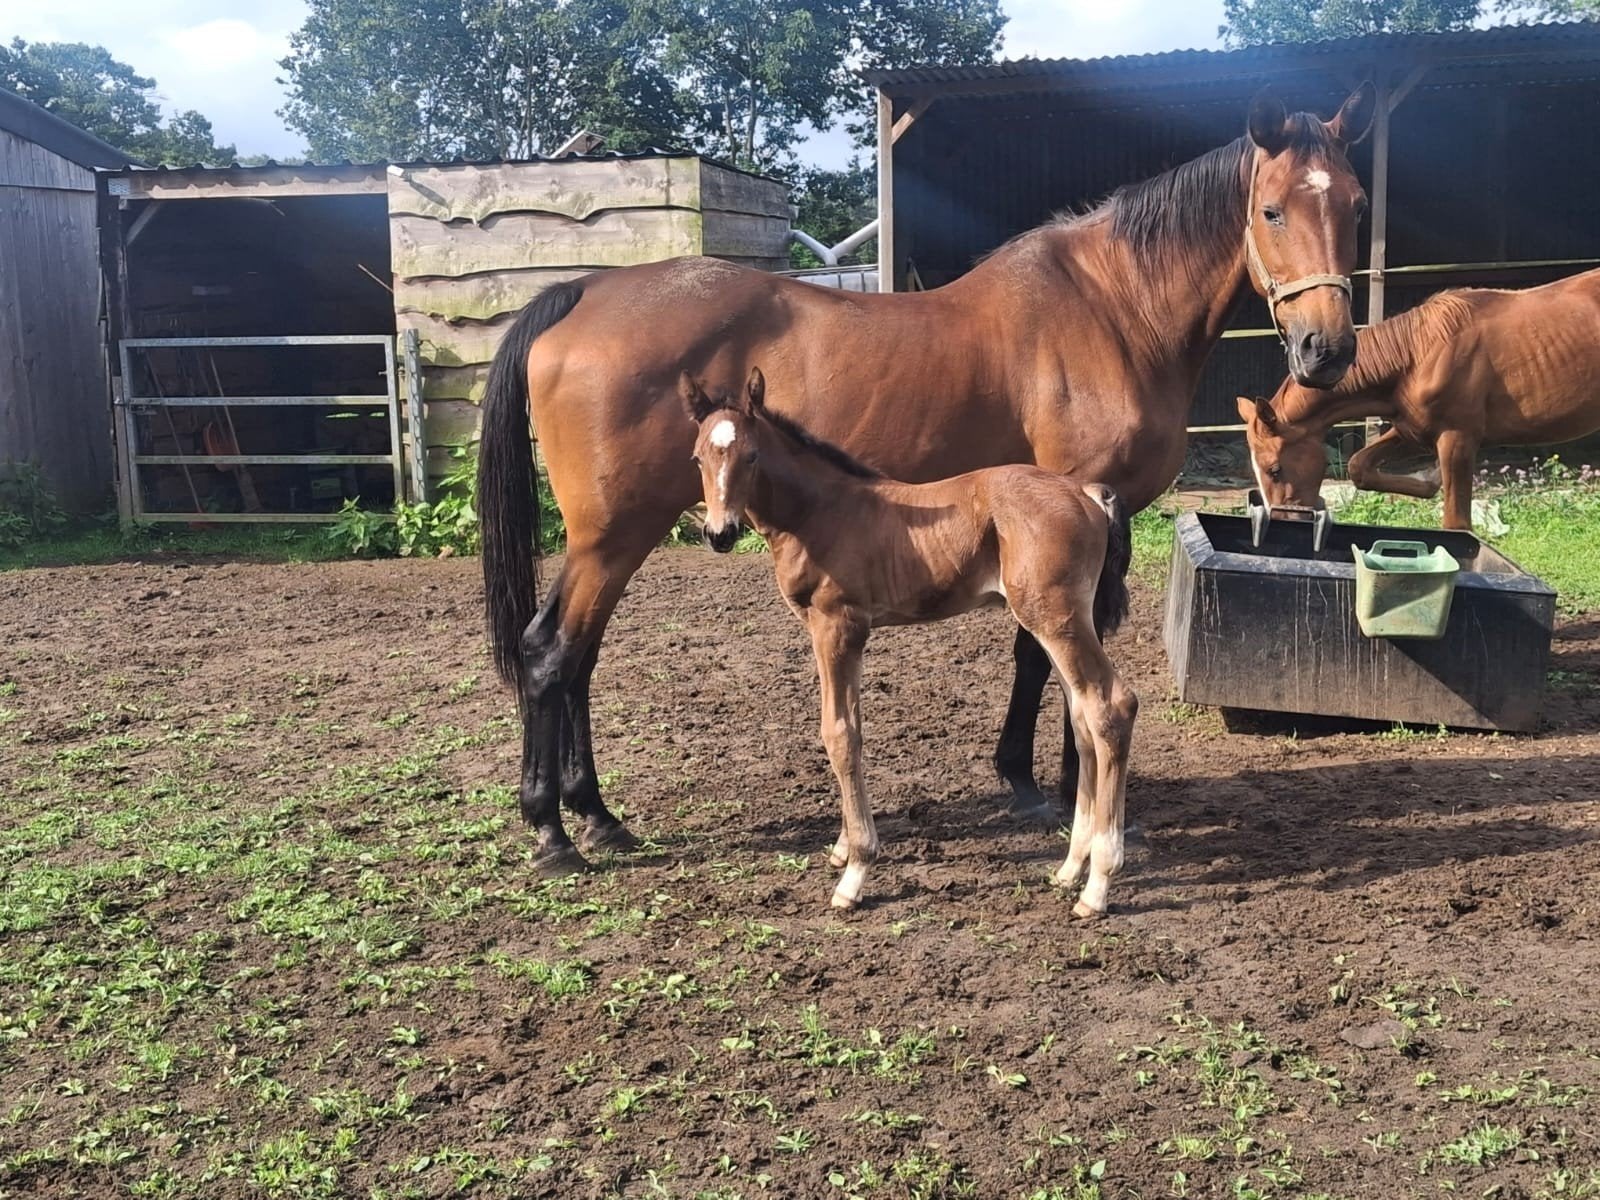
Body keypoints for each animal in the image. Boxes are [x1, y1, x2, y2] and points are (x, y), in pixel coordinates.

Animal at [683, 367, 1138, 914]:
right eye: (698, 458)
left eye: (750, 455)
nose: (719, 534)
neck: (821, 513)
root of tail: (1088, 492)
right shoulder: (844, 635)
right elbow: (852, 728)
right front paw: (843, 849)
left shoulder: (837, 627)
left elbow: (839, 734)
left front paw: (855, 872)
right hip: (1059, 620)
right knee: (1083, 716)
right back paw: (1070, 869)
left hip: (1055, 617)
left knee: (1112, 707)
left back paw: (1098, 885)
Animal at [1239, 267, 1600, 529]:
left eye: (1274, 469)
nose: (1283, 520)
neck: (1419, 352)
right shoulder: (1412, 430)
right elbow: (1359, 467)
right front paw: (1429, 479)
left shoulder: (1457, 440)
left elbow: (1456, 524)